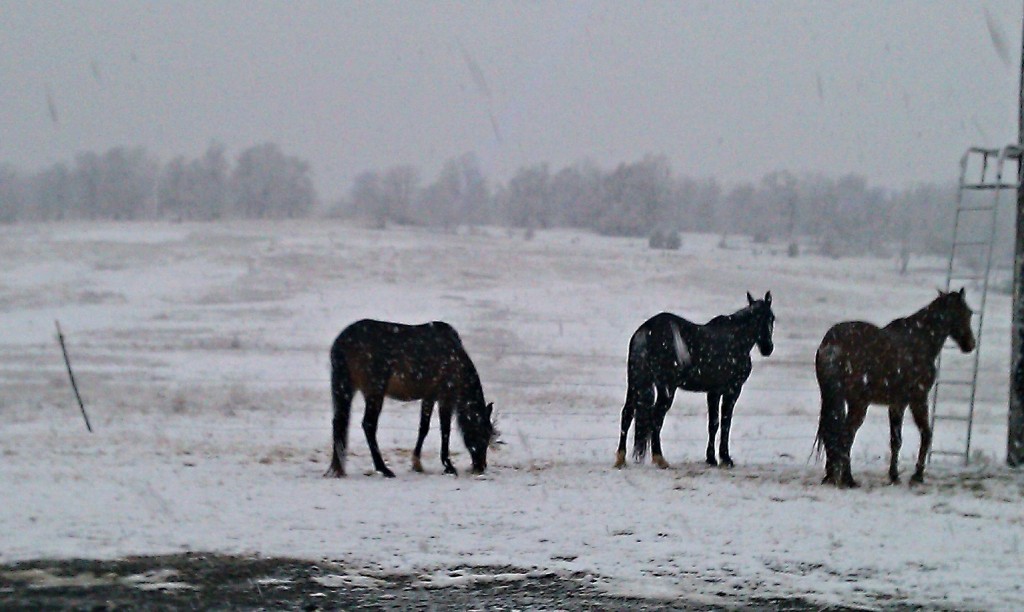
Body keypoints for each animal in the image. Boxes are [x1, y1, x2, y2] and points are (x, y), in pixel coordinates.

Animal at [323, 321, 491, 478]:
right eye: (480, 433)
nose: (481, 466)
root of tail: (341, 342)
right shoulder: (445, 397)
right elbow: (445, 430)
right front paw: (448, 465)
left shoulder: (429, 397)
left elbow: (424, 428)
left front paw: (417, 463)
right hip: (374, 392)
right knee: (368, 425)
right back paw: (383, 469)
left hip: (346, 389)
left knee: (338, 422)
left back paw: (339, 468)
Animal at [815, 290, 974, 489]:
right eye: (966, 313)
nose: (970, 344)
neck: (920, 339)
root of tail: (832, 342)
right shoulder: (918, 399)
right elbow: (926, 433)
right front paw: (917, 475)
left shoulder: (897, 404)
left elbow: (895, 440)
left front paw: (894, 475)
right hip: (858, 403)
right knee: (846, 436)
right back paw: (848, 479)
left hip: (835, 398)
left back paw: (832, 476)